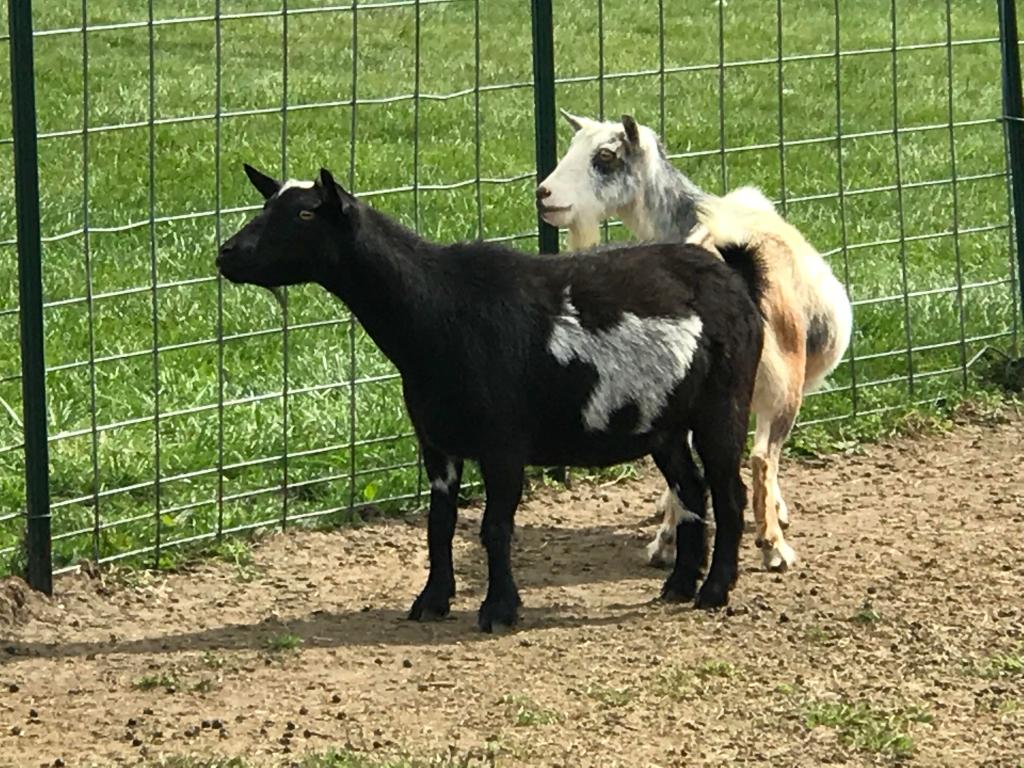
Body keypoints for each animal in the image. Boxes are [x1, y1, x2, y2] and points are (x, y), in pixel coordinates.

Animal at [216, 163, 765, 630]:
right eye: (267, 205)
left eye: (306, 214)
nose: (225, 254)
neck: (438, 311)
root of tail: (735, 277)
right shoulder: (437, 442)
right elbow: (439, 523)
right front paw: (431, 601)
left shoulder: (504, 442)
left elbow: (494, 526)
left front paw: (499, 610)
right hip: (665, 422)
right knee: (691, 488)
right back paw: (678, 586)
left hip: (724, 402)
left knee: (727, 492)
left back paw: (714, 591)